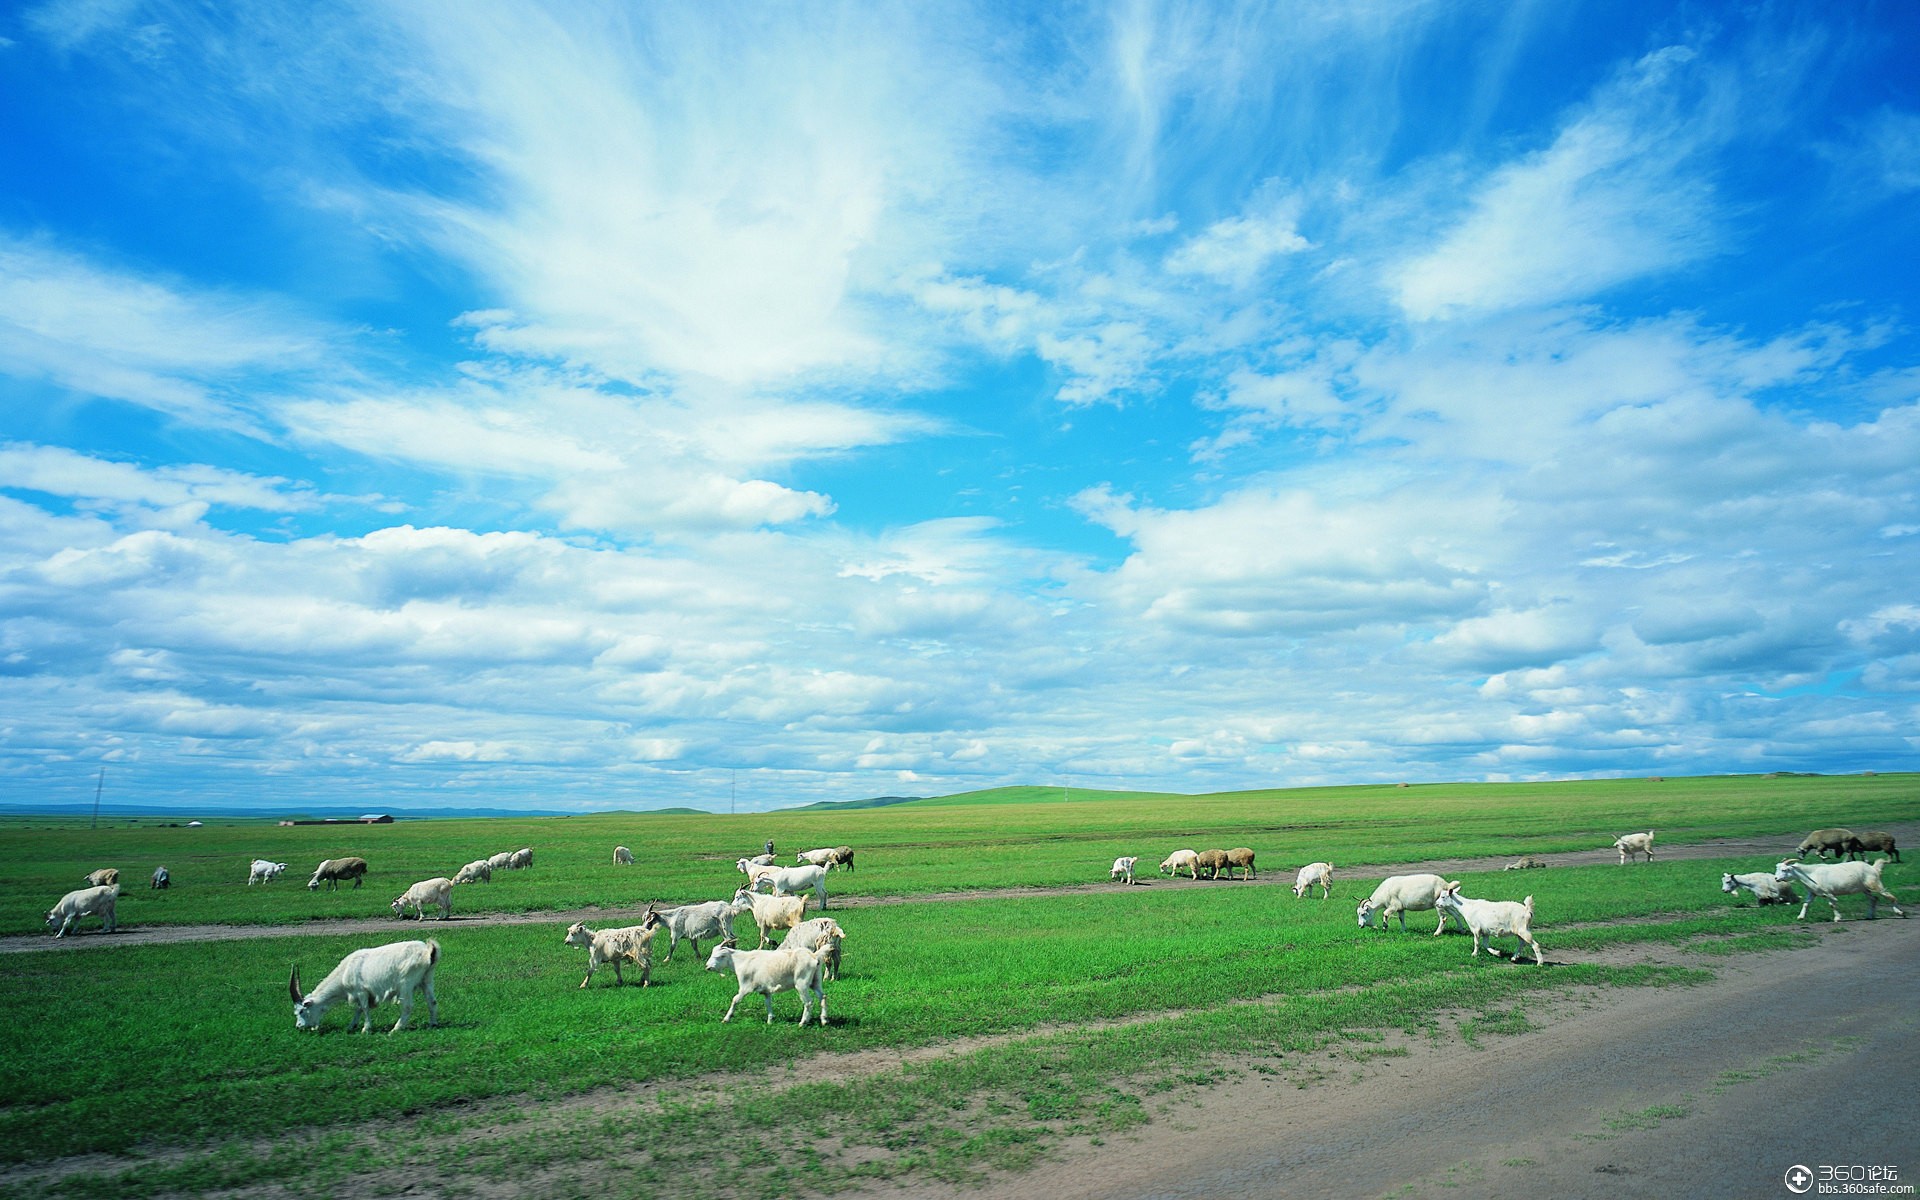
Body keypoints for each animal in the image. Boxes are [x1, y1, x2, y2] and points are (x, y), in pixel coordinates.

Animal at [288, 936, 439, 1029]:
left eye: (301, 1010)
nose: (299, 1027)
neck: (345, 971)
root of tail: (428, 951)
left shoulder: (361, 991)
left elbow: (364, 1008)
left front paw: (365, 1029)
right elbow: (359, 1008)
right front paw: (351, 1026)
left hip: (406, 983)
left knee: (407, 1006)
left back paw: (395, 1029)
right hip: (427, 979)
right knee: (432, 1001)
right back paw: (433, 1024)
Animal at [1766, 856, 1904, 921]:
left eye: (1785, 869)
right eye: (1777, 868)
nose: (1776, 879)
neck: (1811, 874)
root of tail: (1873, 868)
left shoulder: (1829, 893)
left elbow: (1832, 904)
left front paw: (1837, 918)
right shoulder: (1812, 892)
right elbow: (1806, 904)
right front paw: (1801, 917)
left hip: (1874, 884)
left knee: (1890, 896)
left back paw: (1900, 912)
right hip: (1865, 889)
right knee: (1873, 899)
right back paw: (1870, 915)